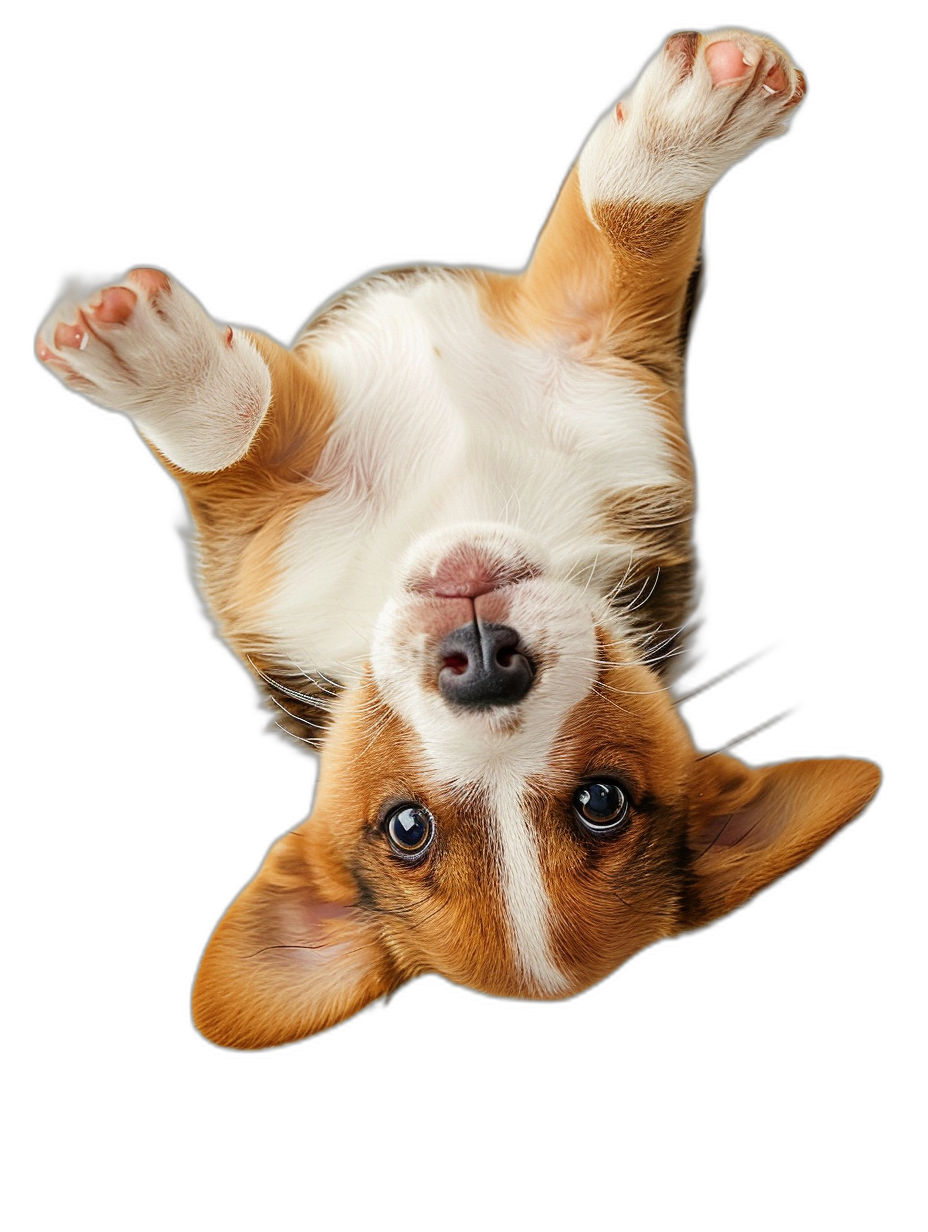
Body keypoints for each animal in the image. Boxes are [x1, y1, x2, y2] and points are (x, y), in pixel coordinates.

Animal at [34, 28, 877, 1049]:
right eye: (409, 829)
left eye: (602, 803)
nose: (482, 662)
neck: (468, 508)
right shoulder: (264, 531)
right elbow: (230, 425)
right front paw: (155, 363)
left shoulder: (608, 363)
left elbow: (625, 235)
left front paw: (689, 121)